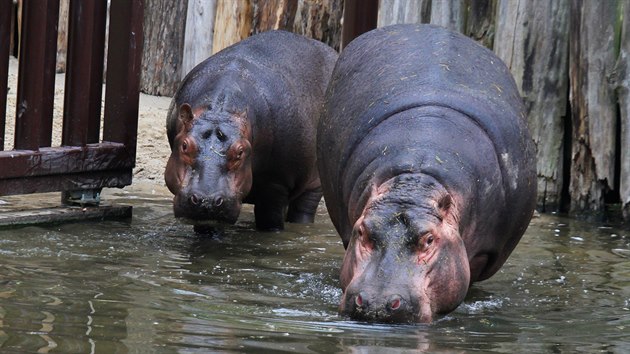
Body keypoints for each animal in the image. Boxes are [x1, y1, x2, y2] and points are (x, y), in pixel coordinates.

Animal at [165, 31, 338, 232]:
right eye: (184, 145)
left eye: (240, 151)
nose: (206, 200)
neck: (220, 112)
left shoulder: (277, 184)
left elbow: (271, 222)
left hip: (314, 184)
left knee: (304, 209)